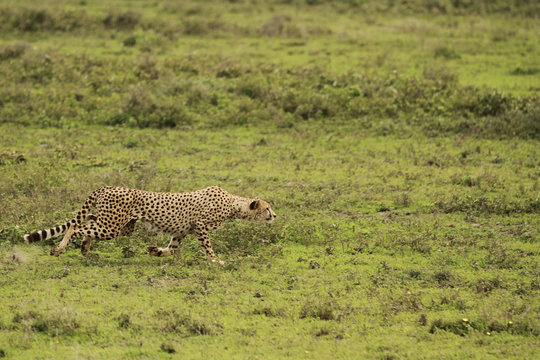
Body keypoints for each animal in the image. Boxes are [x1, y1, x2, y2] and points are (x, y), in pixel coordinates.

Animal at [23, 187, 276, 262]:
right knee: (76, 227)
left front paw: (156, 251)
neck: (234, 204)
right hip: (112, 225)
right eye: (267, 208)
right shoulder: (200, 225)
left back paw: (85, 249)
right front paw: (216, 261)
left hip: (119, 224)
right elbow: (208, 247)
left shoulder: (183, 230)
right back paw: (60, 249)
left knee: (89, 222)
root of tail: (107, 186)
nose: (275, 215)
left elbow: (172, 248)